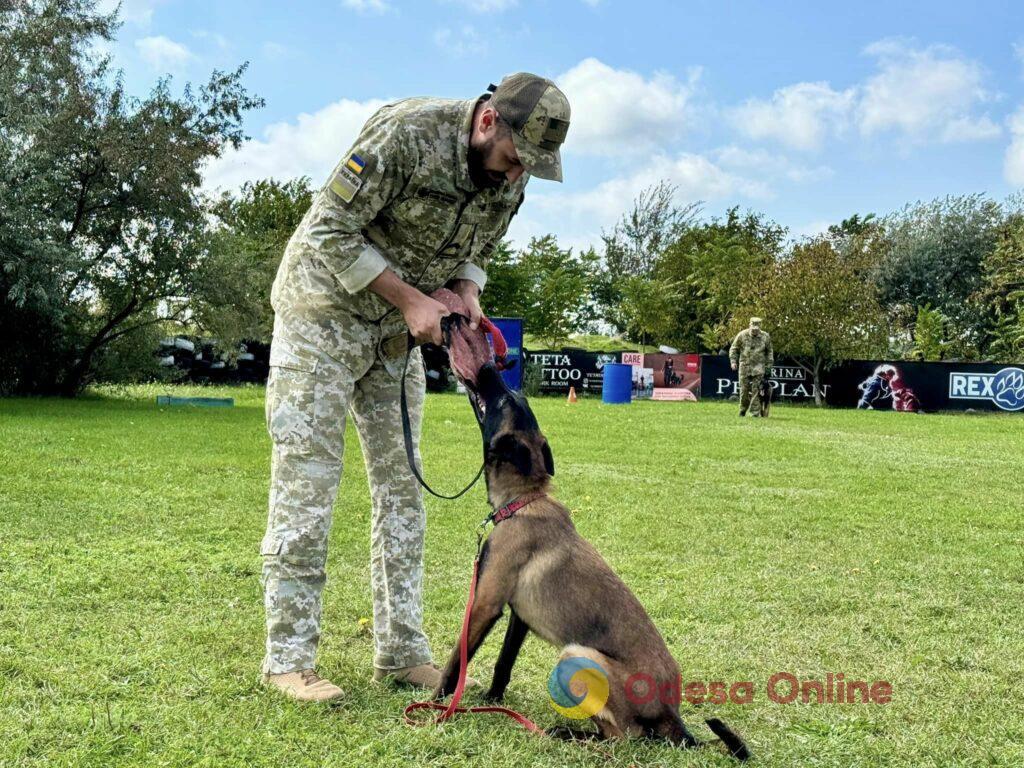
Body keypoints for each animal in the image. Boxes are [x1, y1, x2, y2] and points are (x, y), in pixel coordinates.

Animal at [432, 366, 753, 765]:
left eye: (504, 400)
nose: (490, 368)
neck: (523, 500)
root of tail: (672, 716)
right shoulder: (518, 616)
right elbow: (503, 662)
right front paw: (492, 699)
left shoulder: (485, 604)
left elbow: (457, 660)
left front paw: (436, 703)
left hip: (576, 654)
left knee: (624, 737)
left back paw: (568, 734)